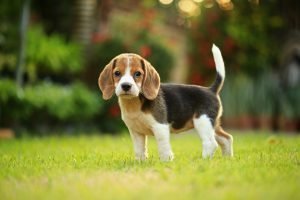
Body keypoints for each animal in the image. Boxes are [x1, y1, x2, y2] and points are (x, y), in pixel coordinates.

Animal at [98, 43, 232, 161]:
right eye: (117, 73)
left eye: (137, 74)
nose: (126, 86)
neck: (134, 103)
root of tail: (211, 90)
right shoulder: (136, 132)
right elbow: (139, 150)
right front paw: (140, 162)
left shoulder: (160, 127)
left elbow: (163, 148)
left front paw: (166, 161)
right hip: (212, 124)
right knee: (227, 138)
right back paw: (228, 159)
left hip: (202, 121)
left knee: (211, 143)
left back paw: (203, 161)